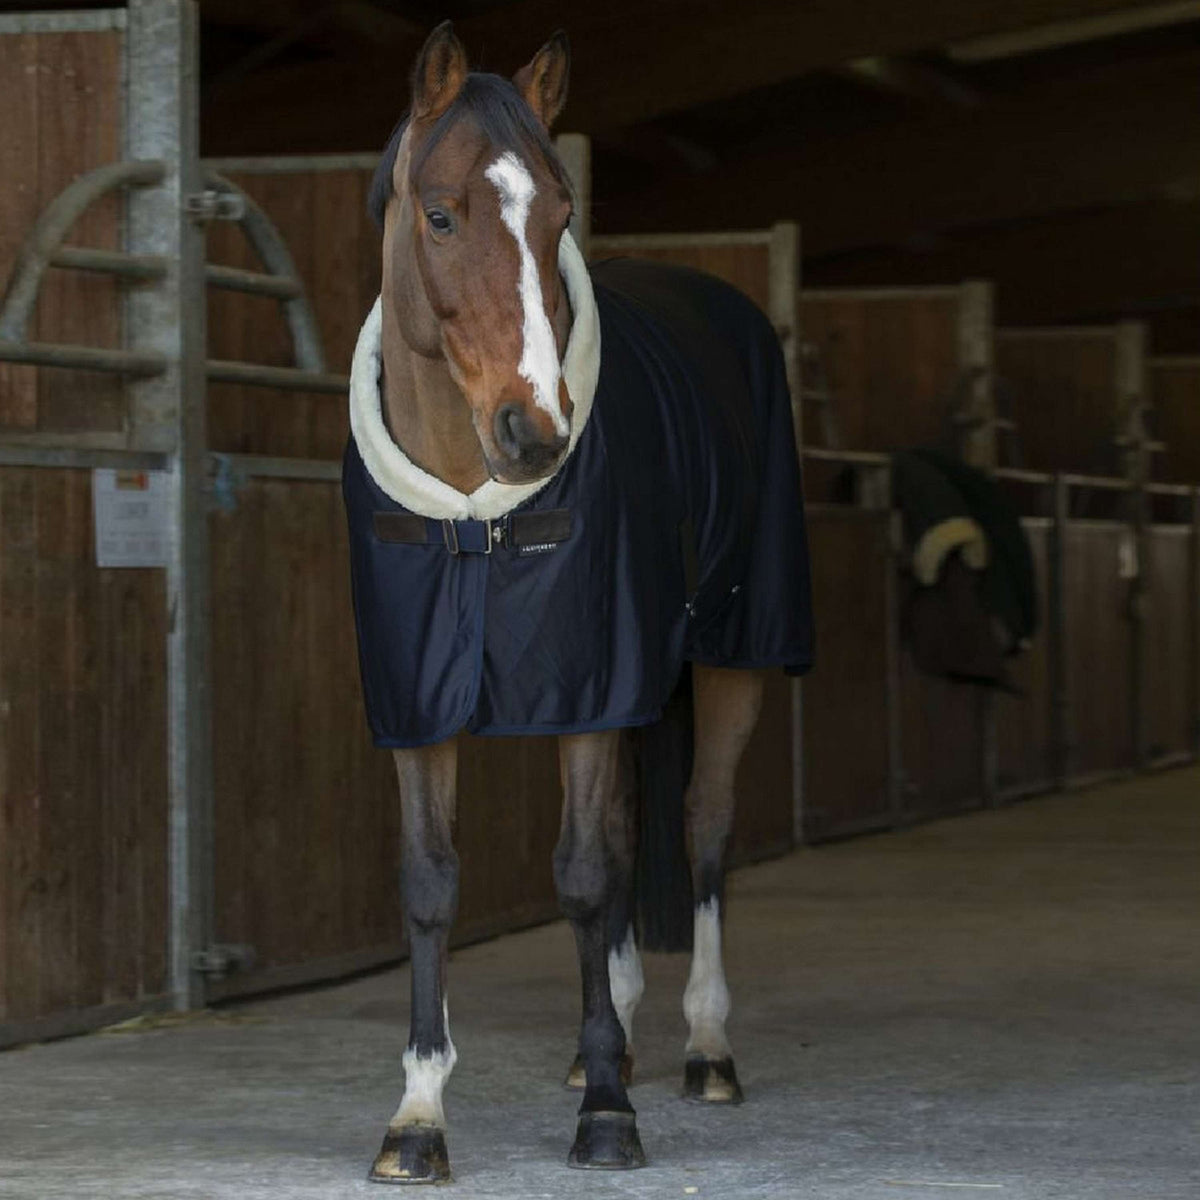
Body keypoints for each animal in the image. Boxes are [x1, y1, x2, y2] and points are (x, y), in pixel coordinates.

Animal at [345, 18, 816, 1180]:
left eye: (560, 215)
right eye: (440, 212)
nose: (535, 433)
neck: (474, 518)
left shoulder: (592, 686)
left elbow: (587, 873)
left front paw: (609, 1111)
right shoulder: (418, 700)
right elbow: (431, 882)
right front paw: (417, 1116)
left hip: (732, 656)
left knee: (700, 828)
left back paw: (702, 1048)